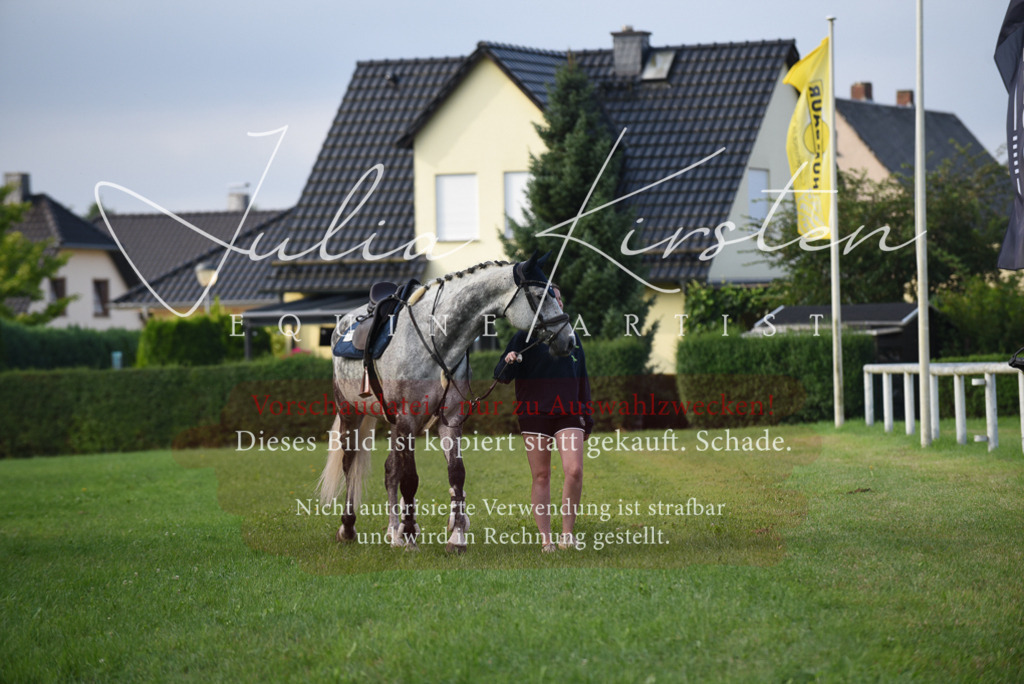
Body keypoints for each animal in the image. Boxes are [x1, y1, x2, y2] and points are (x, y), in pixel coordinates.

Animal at [317, 254, 575, 553]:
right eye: (540, 295)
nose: (568, 340)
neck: (436, 340)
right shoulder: (408, 421)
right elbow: (410, 480)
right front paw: (410, 537)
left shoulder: (448, 421)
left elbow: (455, 473)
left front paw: (456, 537)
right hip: (350, 413)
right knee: (350, 463)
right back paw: (349, 528)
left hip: (392, 425)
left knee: (390, 471)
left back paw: (393, 532)